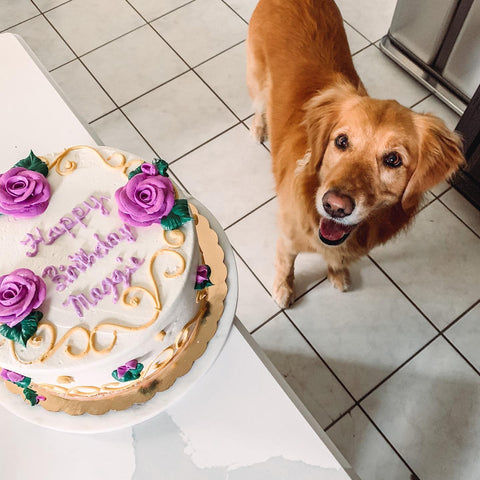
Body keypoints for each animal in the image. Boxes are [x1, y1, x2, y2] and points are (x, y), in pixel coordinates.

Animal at [246, 0, 464, 308]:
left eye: (393, 160)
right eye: (341, 141)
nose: (335, 206)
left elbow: (336, 260)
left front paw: (337, 274)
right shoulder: (287, 237)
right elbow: (286, 264)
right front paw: (283, 289)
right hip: (257, 79)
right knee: (259, 104)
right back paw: (258, 128)